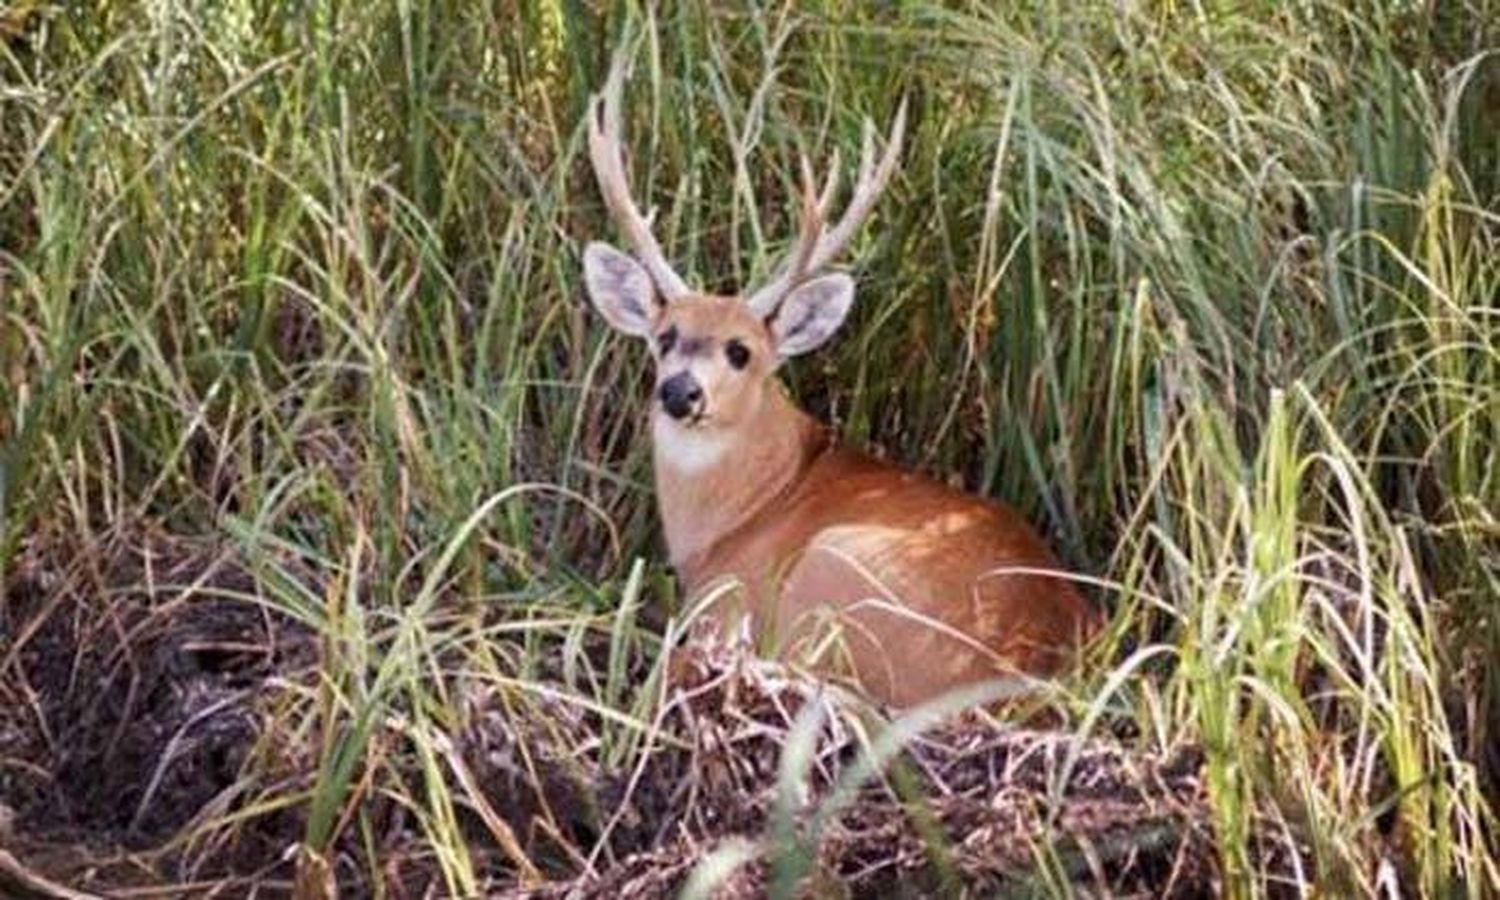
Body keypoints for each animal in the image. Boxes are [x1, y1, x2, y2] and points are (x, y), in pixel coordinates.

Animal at [579, 64, 1098, 711]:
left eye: (741, 351)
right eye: (665, 336)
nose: (680, 392)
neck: (744, 511)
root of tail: (1027, 663)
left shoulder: (728, 596)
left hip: (833, 578)